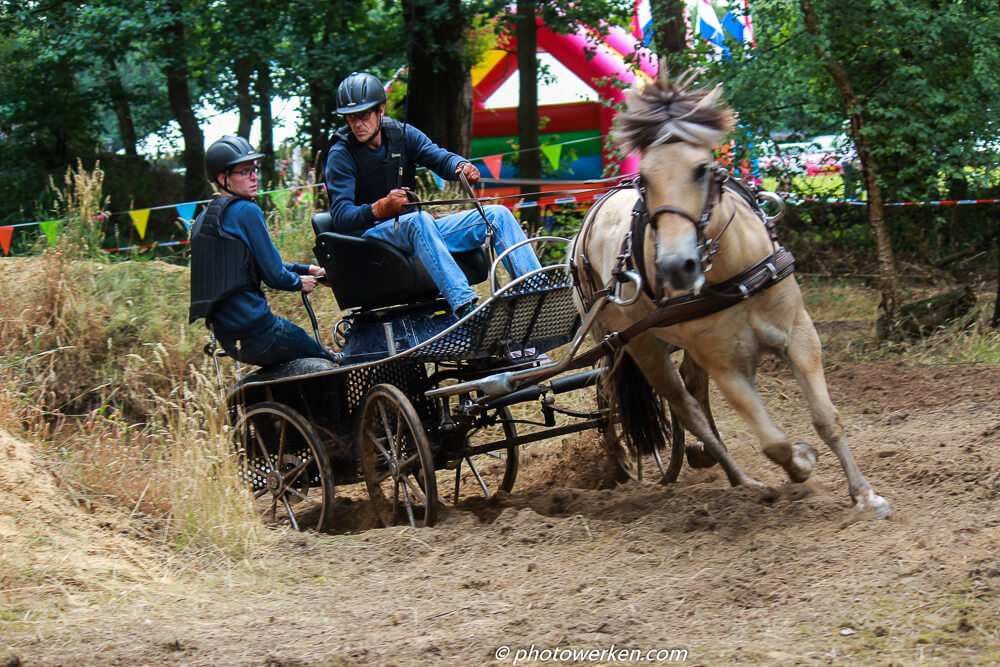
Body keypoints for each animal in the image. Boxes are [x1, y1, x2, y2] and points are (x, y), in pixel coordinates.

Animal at [572, 66, 892, 516]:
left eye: (702, 168)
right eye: (646, 178)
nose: (676, 266)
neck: (735, 273)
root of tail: (586, 227)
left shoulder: (800, 337)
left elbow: (826, 418)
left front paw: (864, 493)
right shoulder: (729, 366)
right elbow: (775, 443)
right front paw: (802, 462)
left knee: (688, 393)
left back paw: (715, 463)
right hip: (639, 344)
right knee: (682, 405)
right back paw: (739, 477)